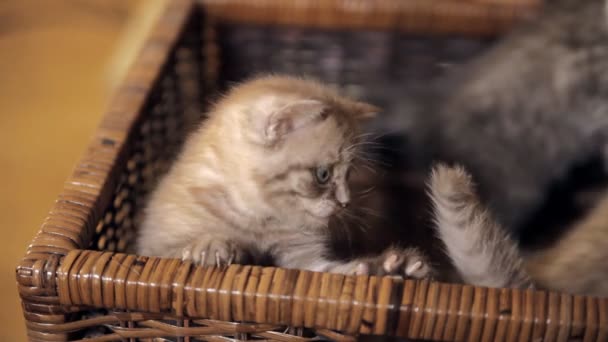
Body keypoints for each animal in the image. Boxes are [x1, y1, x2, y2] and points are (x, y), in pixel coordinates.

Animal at [138, 75, 432, 278]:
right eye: (323, 174)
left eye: (349, 174)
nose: (345, 202)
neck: (258, 219)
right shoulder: (151, 247)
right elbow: (174, 252)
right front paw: (210, 245)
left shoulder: (307, 262)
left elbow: (336, 271)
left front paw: (394, 267)